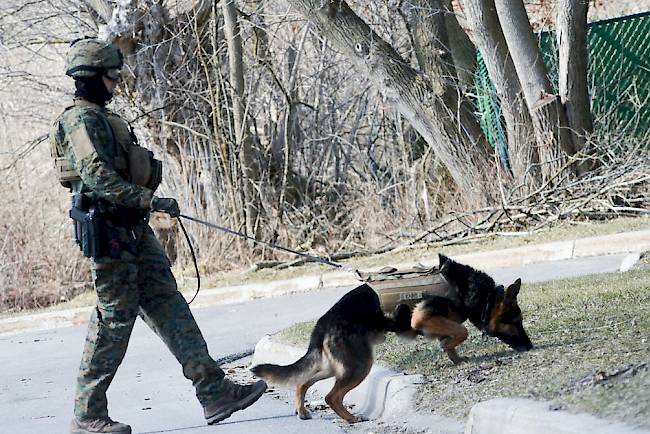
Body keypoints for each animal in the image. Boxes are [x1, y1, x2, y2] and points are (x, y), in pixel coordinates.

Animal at [251, 284, 394, 422]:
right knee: (331, 397)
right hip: (359, 366)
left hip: (332, 368)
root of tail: (323, 324)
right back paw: (351, 418)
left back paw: (302, 411)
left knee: (302, 383)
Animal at [392, 254, 528, 362]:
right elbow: (463, 331)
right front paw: (446, 345)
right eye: (516, 322)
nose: (530, 346)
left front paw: (456, 358)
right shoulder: (421, 317)